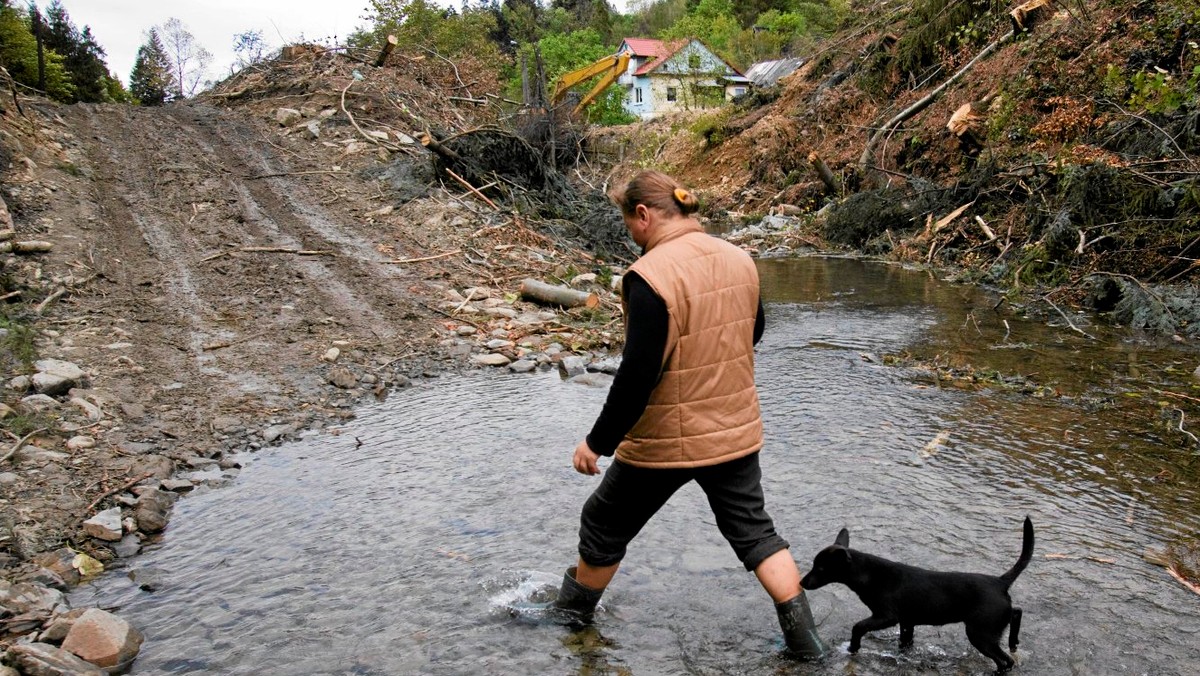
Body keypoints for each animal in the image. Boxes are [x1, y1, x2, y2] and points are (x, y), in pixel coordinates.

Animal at [796, 518, 1032, 672]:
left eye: (820, 569)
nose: (801, 582)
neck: (869, 574)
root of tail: (1000, 582)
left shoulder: (887, 617)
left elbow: (858, 627)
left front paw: (853, 647)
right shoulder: (907, 622)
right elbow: (905, 643)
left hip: (980, 634)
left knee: (1006, 662)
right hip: (991, 625)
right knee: (1016, 612)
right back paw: (1013, 641)